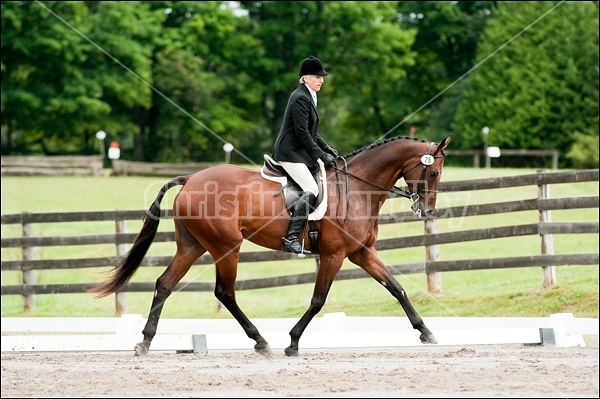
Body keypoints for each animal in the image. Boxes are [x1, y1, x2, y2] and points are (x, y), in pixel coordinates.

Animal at [89, 136, 450, 358]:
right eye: (432, 172)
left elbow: (397, 288)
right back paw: (261, 341)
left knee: (164, 284)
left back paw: (144, 342)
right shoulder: (334, 255)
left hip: (192, 246)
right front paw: (293, 342)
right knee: (225, 292)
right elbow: (318, 300)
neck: (359, 186)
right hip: (226, 246)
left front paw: (426, 332)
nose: (427, 211)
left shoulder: (361, 252)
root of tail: (190, 179)